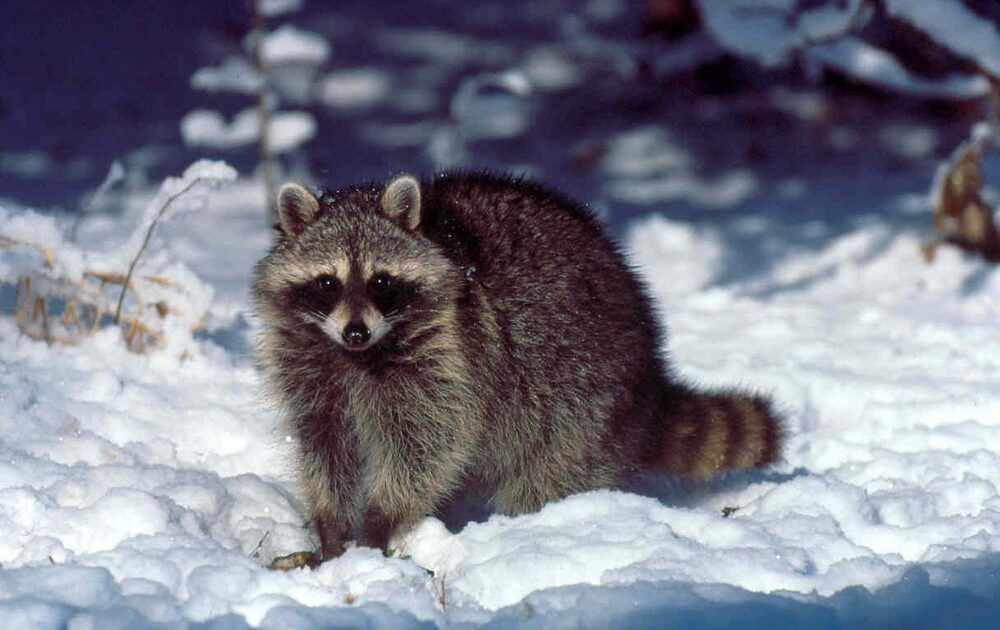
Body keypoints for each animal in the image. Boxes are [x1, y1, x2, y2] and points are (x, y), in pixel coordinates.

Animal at [250, 173, 780, 564]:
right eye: (328, 282)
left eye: (381, 282)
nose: (356, 331)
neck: (359, 356)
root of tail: (648, 370)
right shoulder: (310, 367)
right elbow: (323, 443)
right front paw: (330, 527)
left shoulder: (451, 356)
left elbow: (430, 443)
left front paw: (380, 520)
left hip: (581, 402)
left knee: (547, 475)